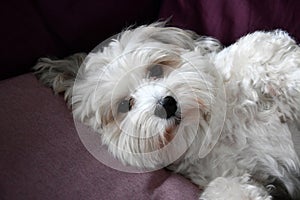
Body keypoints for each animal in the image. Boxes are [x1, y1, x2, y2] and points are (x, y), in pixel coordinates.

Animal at [34, 23, 300, 198]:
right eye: (124, 105)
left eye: (155, 70)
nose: (166, 104)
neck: (212, 128)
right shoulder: (227, 174)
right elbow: (230, 188)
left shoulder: (257, 55)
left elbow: (261, 54)